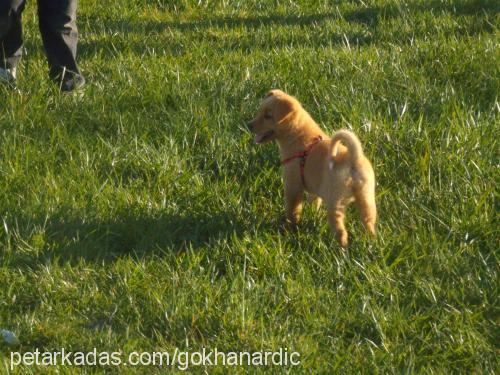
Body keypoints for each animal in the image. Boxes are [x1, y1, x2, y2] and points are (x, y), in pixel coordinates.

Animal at [248, 88, 376, 247]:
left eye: (268, 116)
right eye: (260, 111)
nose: (249, 125)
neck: (299, 137)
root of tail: (354, 157)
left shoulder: (292, 186)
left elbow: (293, 210)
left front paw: (290, 228)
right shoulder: (314, 190)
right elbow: (314, 203)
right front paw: (314, 216)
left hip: (335, 202)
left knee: (341, 231)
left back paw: (340, 248)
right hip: (367, 197)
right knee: (369, 222)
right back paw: (369, 243)